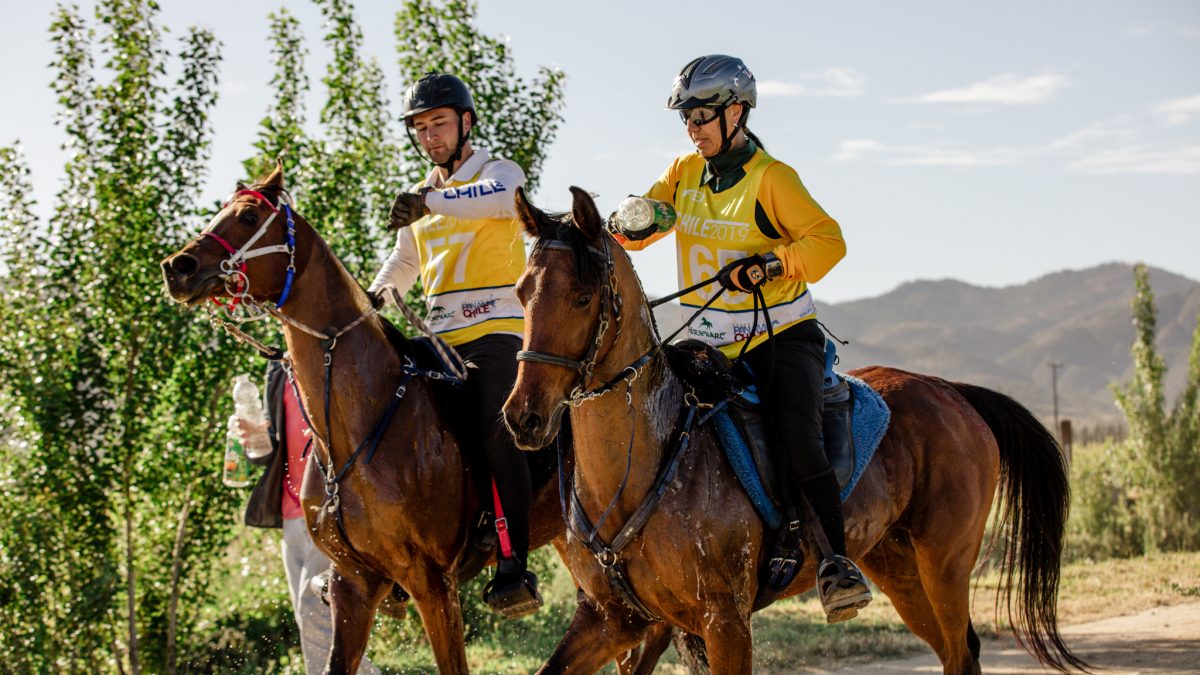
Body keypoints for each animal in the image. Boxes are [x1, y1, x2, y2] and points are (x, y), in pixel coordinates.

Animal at [501, 184, 1084, 672]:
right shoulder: (610, 620)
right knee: (953, 651)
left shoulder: (724, 623)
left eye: (582, 297)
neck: (641, 464)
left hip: (945, 563)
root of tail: (951, 390)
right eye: (522, 292)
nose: (524, 416)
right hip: (898, 568)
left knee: (959, 653)